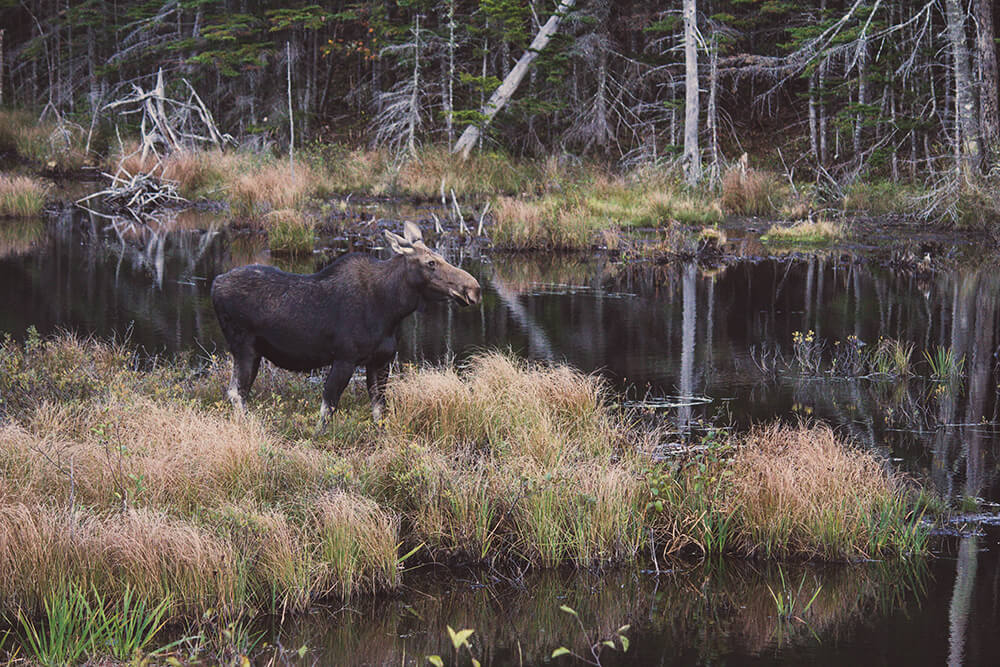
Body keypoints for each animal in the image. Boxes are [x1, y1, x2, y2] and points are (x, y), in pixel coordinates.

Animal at [210, 222, 480, 426]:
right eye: (430, 263)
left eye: (441, 257)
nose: (474, 289)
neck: (391, 309)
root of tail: (215, 283)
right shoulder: (345, 358)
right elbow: (327, 409)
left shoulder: (380, 361)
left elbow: (379, 410)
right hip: (245, 347)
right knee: (236, 392)